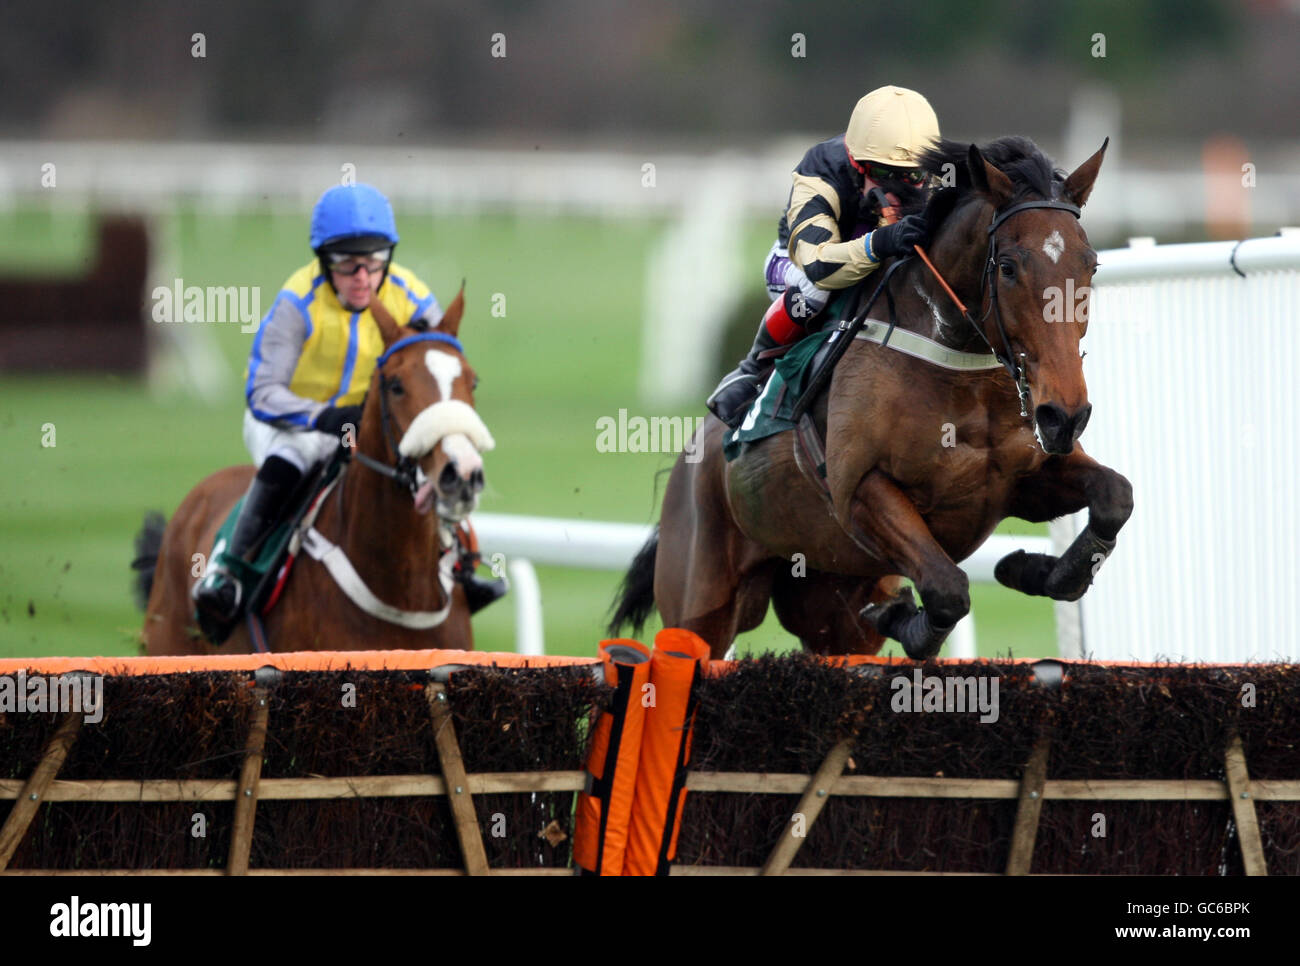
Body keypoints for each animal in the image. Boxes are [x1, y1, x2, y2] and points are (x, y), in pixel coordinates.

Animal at [608, 135, 1128, 660]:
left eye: (1091, 263)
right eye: (1007, 267)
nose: (1064, 415)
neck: (959, 370)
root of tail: (691, 458)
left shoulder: (1022, 480)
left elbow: (1116, 495)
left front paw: (1033, 569)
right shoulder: (859, 491)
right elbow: (948, 589)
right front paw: (903, 616)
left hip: (827, 604)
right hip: (701, 602)